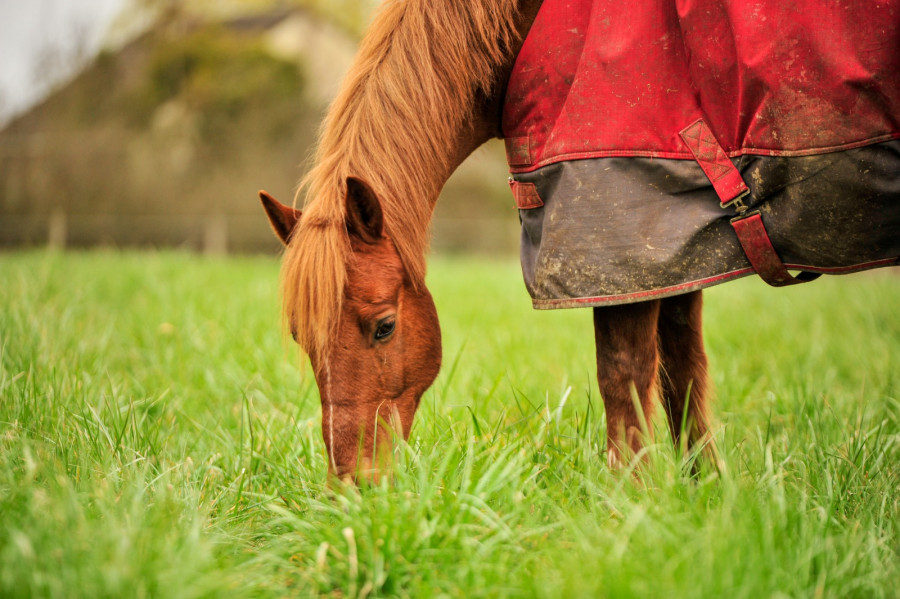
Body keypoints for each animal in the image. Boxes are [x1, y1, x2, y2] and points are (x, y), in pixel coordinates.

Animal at [256, 0, 900, 480]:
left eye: (384, 326)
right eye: (301, 339)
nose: (354, 486)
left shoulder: (619, 236)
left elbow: (624, 378)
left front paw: (632, 507)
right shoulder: (682, 244)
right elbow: (682, 374)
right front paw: (704, 496)